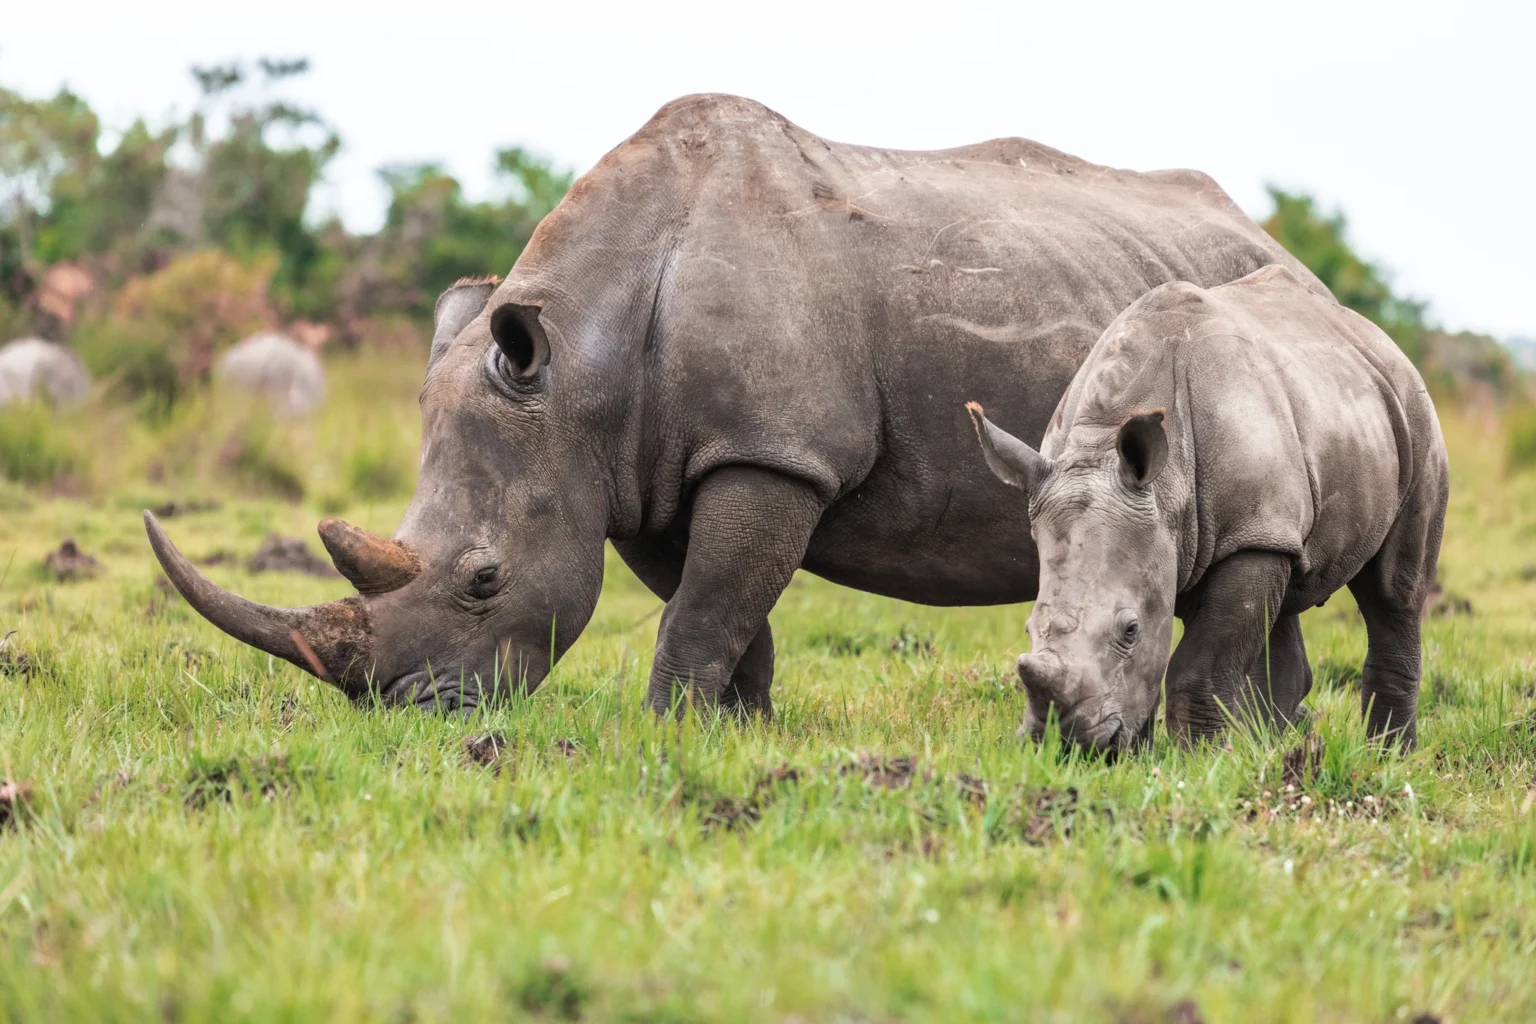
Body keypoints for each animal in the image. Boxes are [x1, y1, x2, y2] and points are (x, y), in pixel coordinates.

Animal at [146, 93, 1327, 716]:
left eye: (483, 579)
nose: (414, 714)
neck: (579, 363)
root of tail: (1275, 241)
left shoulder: (774, 449)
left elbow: (709, 602)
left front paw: (668, 730)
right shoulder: (645, 467)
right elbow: (718, 603)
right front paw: (738, 732)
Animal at [968, 265, 1448, 750]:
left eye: (1129, 630)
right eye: (1029, 629)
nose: (1064, 745)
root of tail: (1377, 336)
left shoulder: (1248, 533)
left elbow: (1198, 668)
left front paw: (1200, 758)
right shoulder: (1196, 535)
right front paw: (1145, 757)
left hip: (1412, 412)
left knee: (1394, 593)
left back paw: (1388, 756)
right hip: (1313, 444)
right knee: (1286, 596)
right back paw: (1261, 752)